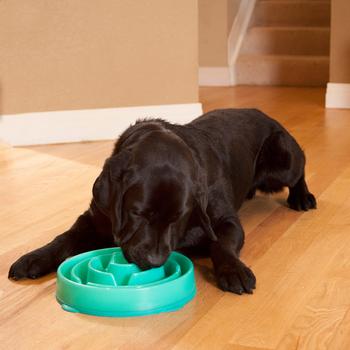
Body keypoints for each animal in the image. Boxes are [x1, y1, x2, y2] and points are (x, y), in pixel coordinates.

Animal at [8, 108, 316, 294]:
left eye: (178, 217)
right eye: (137, 214)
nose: (154, 261)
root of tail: (266, 114)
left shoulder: (225, 220)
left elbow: (222, 243)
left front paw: (233, 270)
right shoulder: (95, 218)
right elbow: (64, 238)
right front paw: (34, 257)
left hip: (282, 160)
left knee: (301, 165)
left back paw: (303, 197)